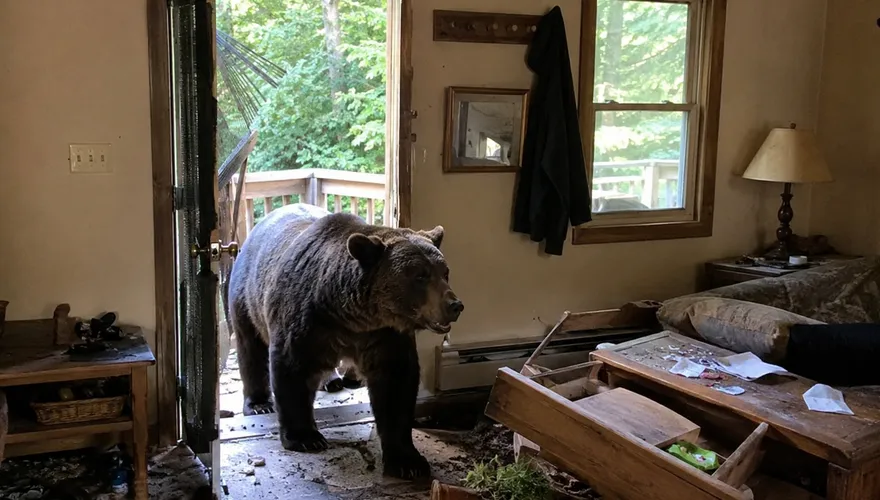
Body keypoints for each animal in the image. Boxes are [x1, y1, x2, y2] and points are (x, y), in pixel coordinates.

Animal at [227, 203, 463, 480]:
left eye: (445, 272)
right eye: (420, 276)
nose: (454, 305)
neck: (351, 315)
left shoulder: (383, 334)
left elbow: (395, 384)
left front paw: (408, 461)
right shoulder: (306, 319)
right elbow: (292, 367)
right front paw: (305, 437)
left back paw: (335, 380)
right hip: (246, 295)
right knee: (250, 347)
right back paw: (259, 404)